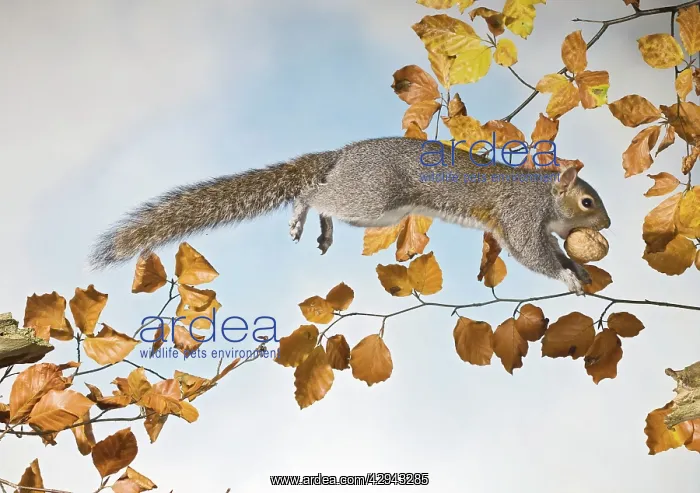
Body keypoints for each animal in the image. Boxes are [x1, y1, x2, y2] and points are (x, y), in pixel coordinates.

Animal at [89, 137, 611, 294]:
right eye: (588, 202)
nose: (606, 226)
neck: (543, 196)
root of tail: (342, 155)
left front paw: (578, 265)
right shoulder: (519, 216)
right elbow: (531, 253)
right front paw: (568, 275)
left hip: (371, 211)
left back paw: (320, 228)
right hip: (371, 198)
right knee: (313, 193)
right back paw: (302, 215)